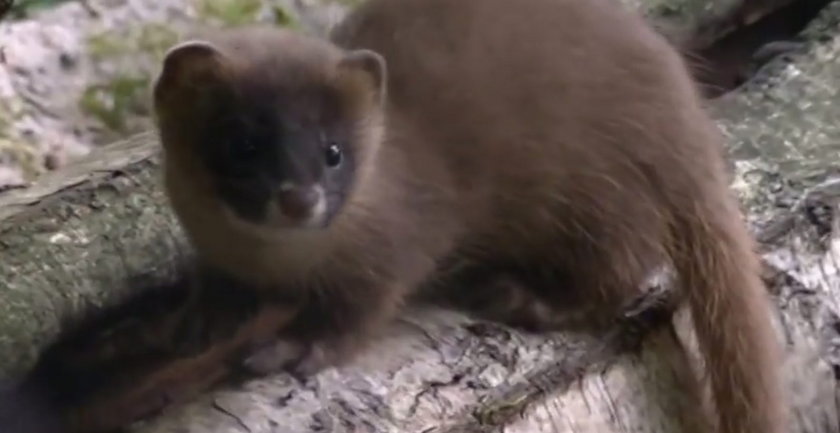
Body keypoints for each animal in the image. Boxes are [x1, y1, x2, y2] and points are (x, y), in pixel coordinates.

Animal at [151, 0, 788, 432]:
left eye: (333, 151)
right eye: (241, 144)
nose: (298, 199)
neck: (274, 260)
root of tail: (687, 117)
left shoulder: (401, 239)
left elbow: (363, 307)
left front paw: (294, 347)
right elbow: (213, 283)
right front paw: (198, 317)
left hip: (601, 195)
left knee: (620, 269)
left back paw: (519, 295)